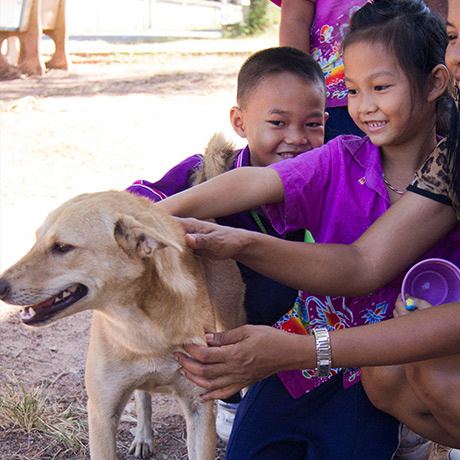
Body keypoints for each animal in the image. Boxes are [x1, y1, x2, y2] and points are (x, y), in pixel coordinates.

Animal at [0, 189, 244, 458]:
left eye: (62, 247)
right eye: (36, 240)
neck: (144, 328)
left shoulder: (198, 407)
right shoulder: (101, 412)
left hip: (230, 322)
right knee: (142, 396)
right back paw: (143, 435)